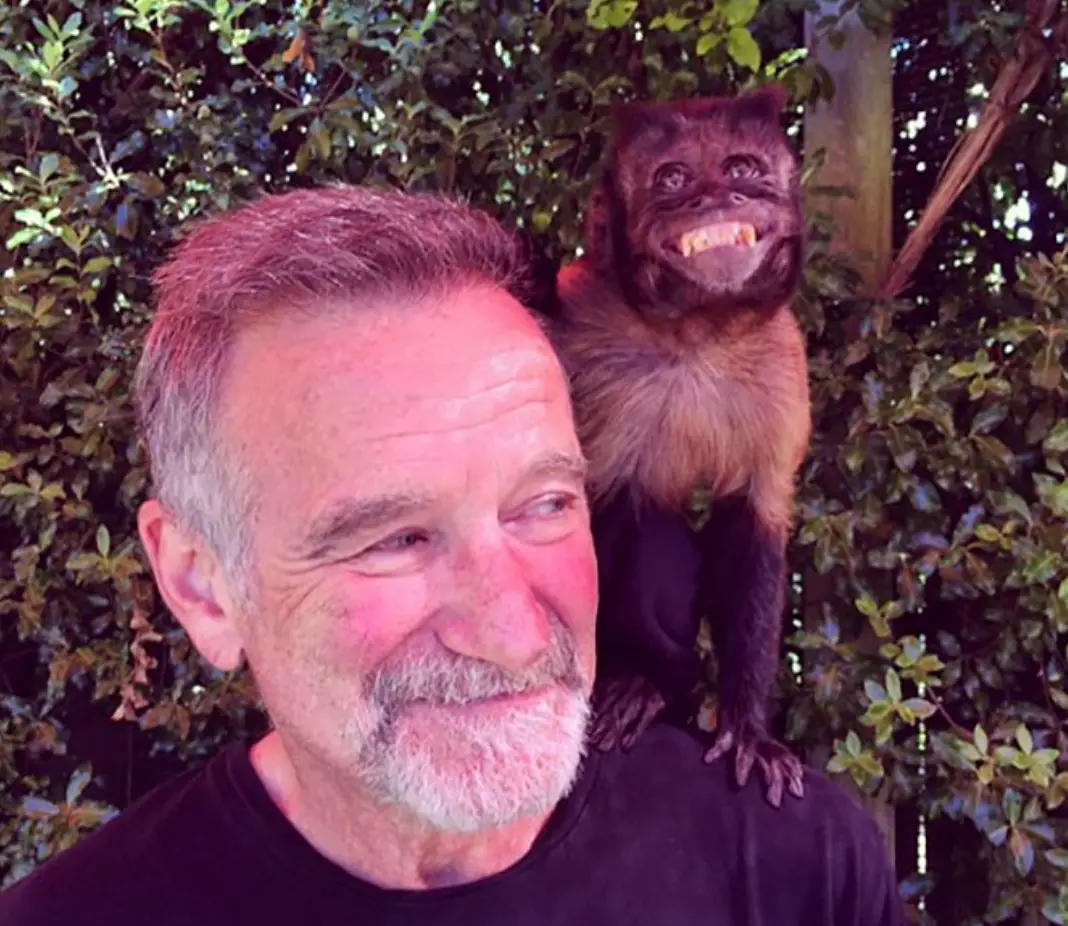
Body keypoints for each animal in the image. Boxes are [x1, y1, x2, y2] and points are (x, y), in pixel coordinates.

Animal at [548, 86, 811, 808]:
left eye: (743, 168)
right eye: (672, 180)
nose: (716, 197)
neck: (699, 330)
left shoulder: (785, 366)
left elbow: (752, 523)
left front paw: (748, 727)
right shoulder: (572, 315)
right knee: (633, 515)